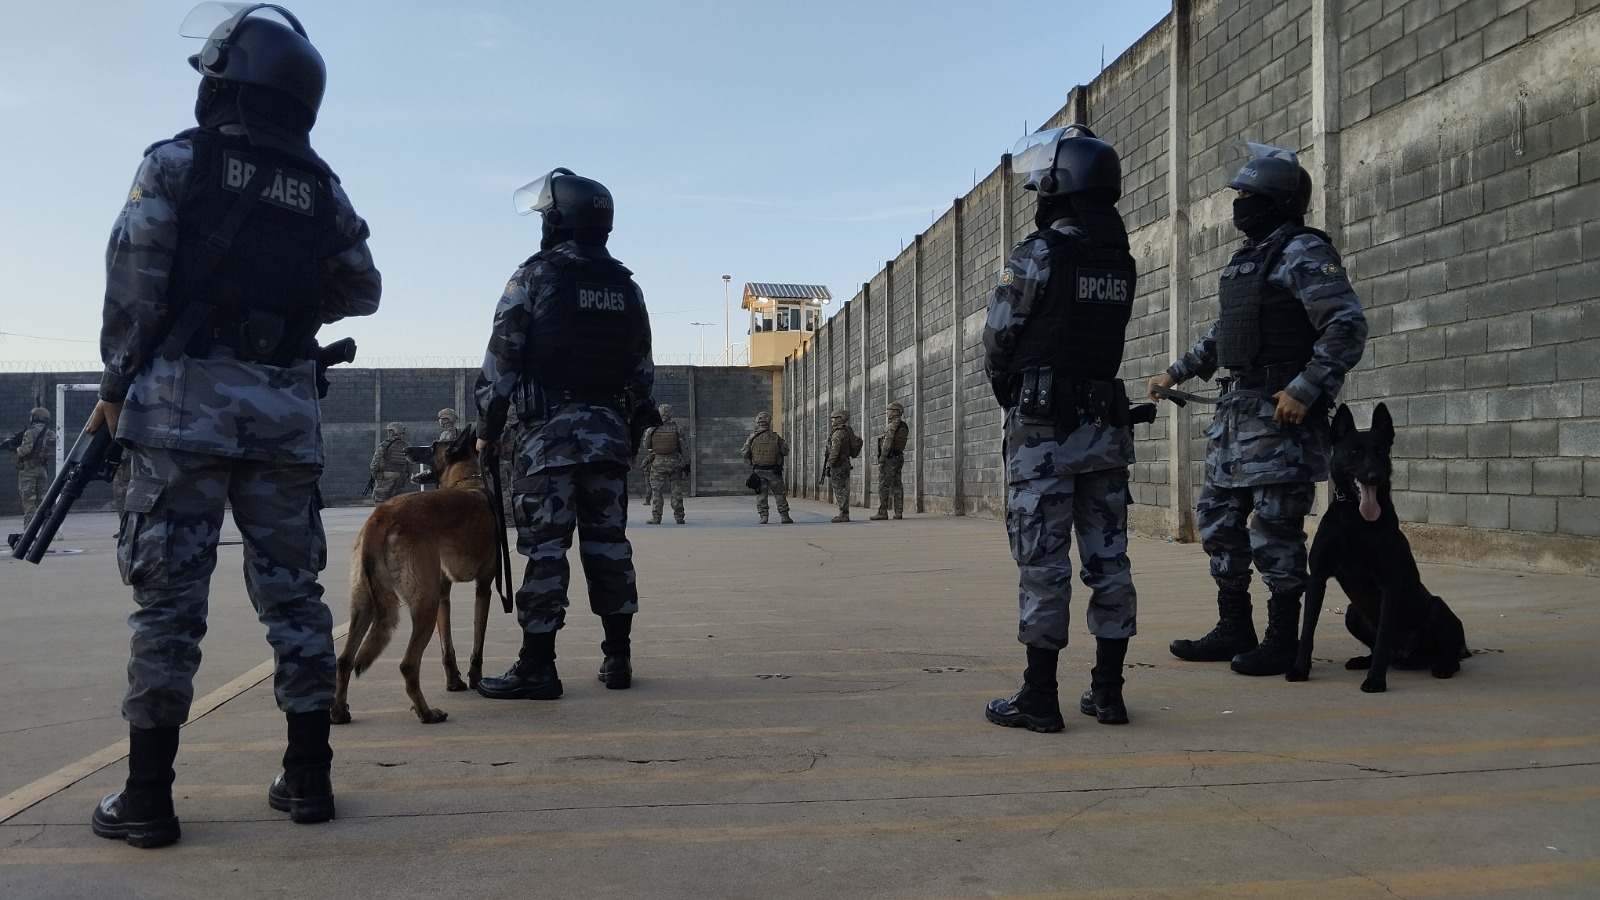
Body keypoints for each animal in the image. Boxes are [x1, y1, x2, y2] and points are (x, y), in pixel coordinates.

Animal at [328, 422, 496, 723]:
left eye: (432, 446)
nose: (406, 449)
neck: (467, 483)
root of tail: (381, 514)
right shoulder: (484, 588)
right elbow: (477, 644)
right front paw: (475, 679)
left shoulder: (443, 594)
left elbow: (447, 648)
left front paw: (454, 682)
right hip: (424, 606)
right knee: (407, 664)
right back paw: (426, 713)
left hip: (367, 604)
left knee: (345, 659)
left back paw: (339, 710)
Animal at [1280, 403, 1465, 688]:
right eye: (1354, 452)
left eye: (1381, 452)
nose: (1374, 477)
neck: (1355, 519)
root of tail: (1410, 657)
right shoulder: (1318, 577)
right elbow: (1308, 628)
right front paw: (1300, 669)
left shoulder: (1389, 583)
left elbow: (1382, 639)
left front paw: (1376, 681)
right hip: (1351, 613)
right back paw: (1362, 661)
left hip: (1437, 609)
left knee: (1447, 654)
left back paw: (1443, 665)